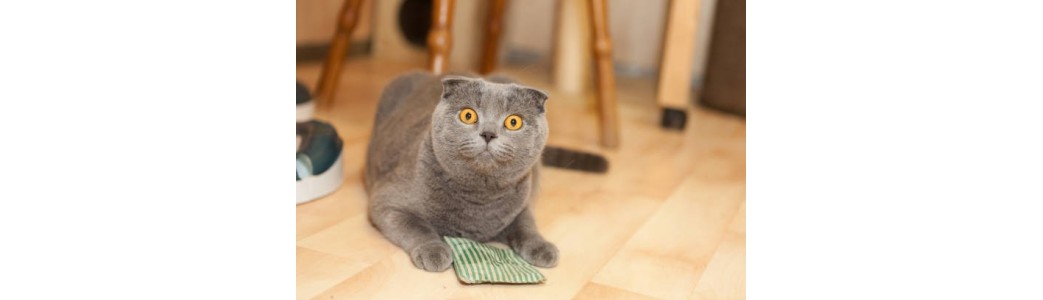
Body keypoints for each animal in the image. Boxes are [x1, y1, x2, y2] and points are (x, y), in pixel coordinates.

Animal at [367, 71, 563, 270]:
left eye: (513, 122)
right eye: (468, 115)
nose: (488, 134)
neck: (479, 198)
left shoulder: (522, 205)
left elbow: (526, 225)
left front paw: (542, 248)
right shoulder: (387, 201)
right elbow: (417, 226)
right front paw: (434, 251)